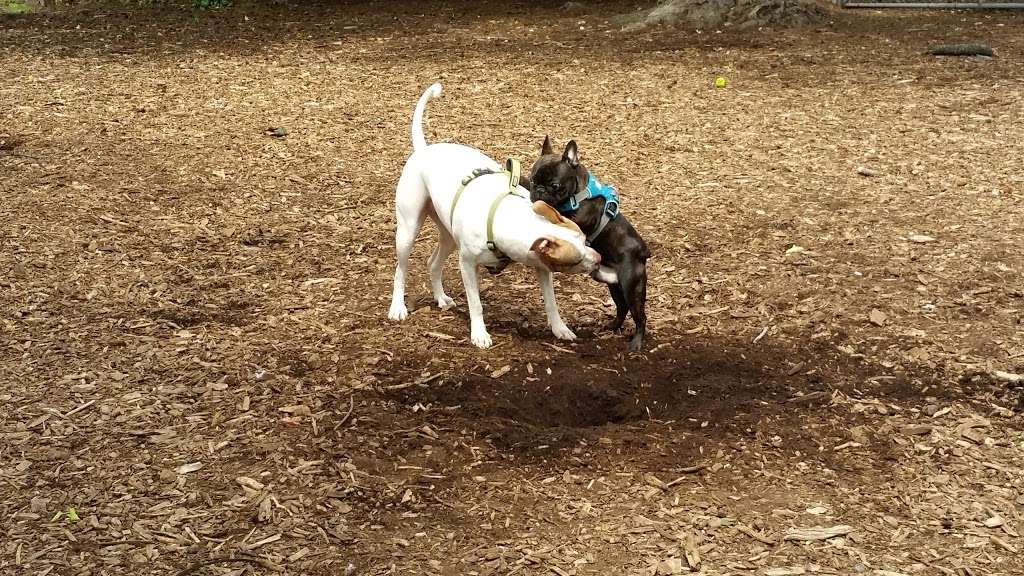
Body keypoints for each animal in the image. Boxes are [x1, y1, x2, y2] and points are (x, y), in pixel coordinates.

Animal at [389, 83, 598, 348]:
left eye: (586, 241)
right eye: (575, 261)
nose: (599, 258)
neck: (508, 219)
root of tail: (424, 149)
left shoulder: (540, 265)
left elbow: (551, 302)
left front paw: (560, 328)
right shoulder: (467, 265)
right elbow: (475, 303)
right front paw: (480, 334)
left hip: (448, 234)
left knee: (433, 262)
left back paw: (441, 298)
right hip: (408, 229)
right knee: (400, 270)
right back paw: (397, 307)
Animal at [528, 136, 647, 350]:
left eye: (555, 185)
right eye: (533, 180)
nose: (539, 191)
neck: (579, 192)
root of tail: (643, 253)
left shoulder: (579, 217)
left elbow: (559, 212)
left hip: (632, 288)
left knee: (640, 317)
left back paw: (636, 343)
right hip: (614, 286)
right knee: (622, 308)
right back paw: (612, 326)